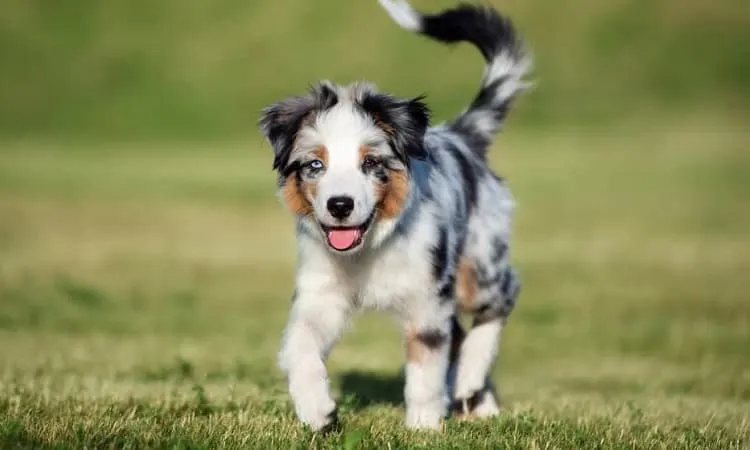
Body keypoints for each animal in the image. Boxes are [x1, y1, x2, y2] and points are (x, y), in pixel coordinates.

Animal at [262, 0, 532, 430]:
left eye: (371, 163)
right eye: (315, 165)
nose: (340, 205)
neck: (368, 250)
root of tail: (462, 135)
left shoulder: (426, 299)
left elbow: (425, 367)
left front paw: (424, 426)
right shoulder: (320, 293)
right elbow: (300, 346)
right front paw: (317, 410)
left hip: (477, 265)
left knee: (502, 299)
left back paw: (468, 378)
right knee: (460, 332)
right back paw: (479, 402)